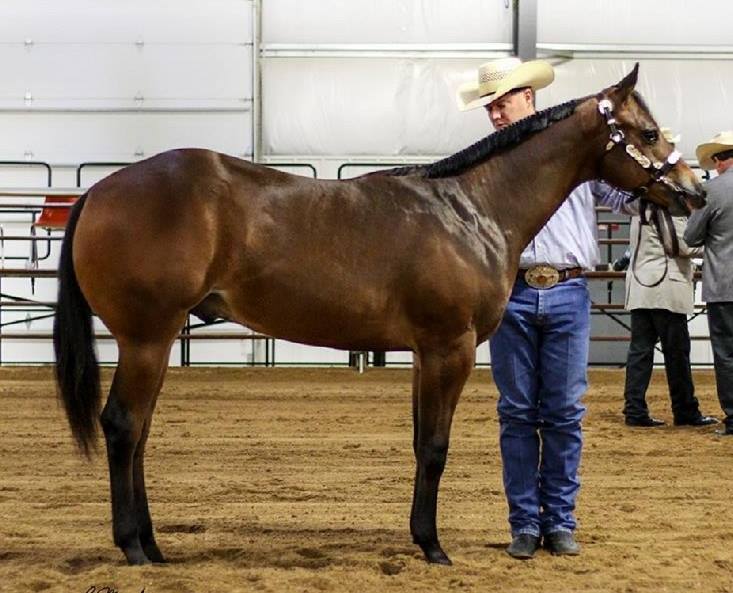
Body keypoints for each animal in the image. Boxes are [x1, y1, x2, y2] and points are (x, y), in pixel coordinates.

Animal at [53, 64, 704, 566]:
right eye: (648, 131)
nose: (693, 192)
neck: (472, 209)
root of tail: (102, 191)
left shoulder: (424, 352)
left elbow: (420, 443)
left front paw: (421, 538)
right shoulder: (449, 347)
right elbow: (436, 447)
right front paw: (434, 547)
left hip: (157, 342)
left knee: (139, 433)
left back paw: (154, 545)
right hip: (147, 337)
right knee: (123, 426)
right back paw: (133, 548)